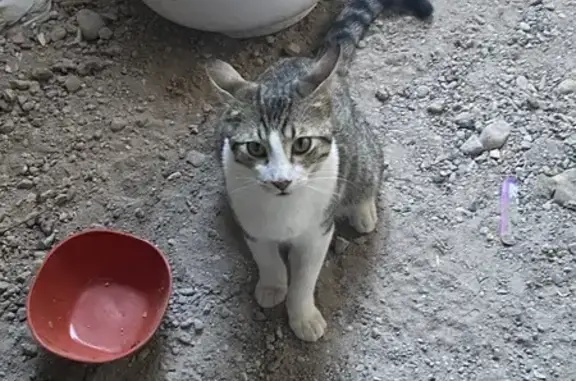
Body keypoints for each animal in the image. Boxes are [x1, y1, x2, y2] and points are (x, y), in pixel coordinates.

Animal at [205, 0, 434, 342]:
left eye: (302, 144)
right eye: (255, 148)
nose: (281, 181)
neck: (283, 209)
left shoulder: (318, 232)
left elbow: (304, 278)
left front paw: (303, 316)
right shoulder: (252, 225)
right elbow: (267, 259)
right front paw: (273, 285)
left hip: (359, 150)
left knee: (370, 168)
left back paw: (363, 209)